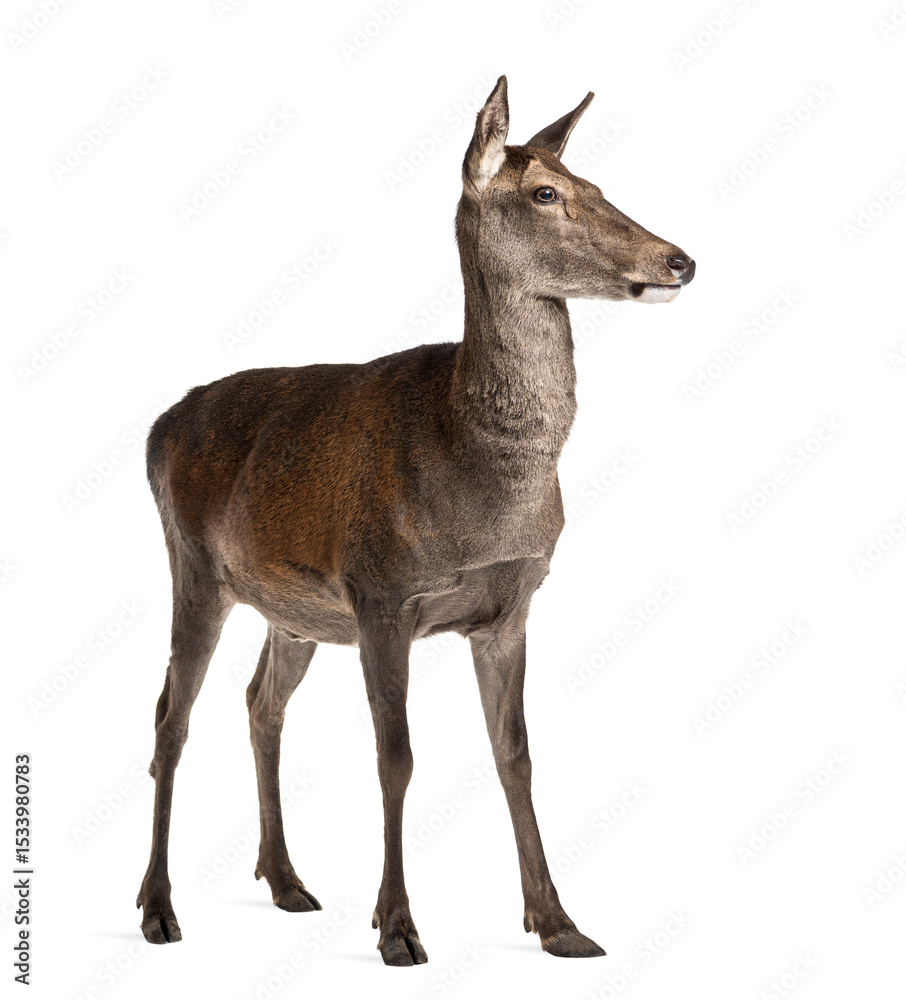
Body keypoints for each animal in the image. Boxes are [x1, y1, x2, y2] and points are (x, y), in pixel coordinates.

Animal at [136, 75, 695, 967]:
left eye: (597, 183)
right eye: (545, 192)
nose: (679, 258)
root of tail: (154, 429)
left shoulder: (510, 607)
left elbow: (516, 755)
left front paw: (560, 923)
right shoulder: (382, 594)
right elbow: (395, 757)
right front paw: (398, 928)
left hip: (294, 609)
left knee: (260, 701)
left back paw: (287, 881)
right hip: (191, 563)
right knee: (168, 718)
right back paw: (159, 909)